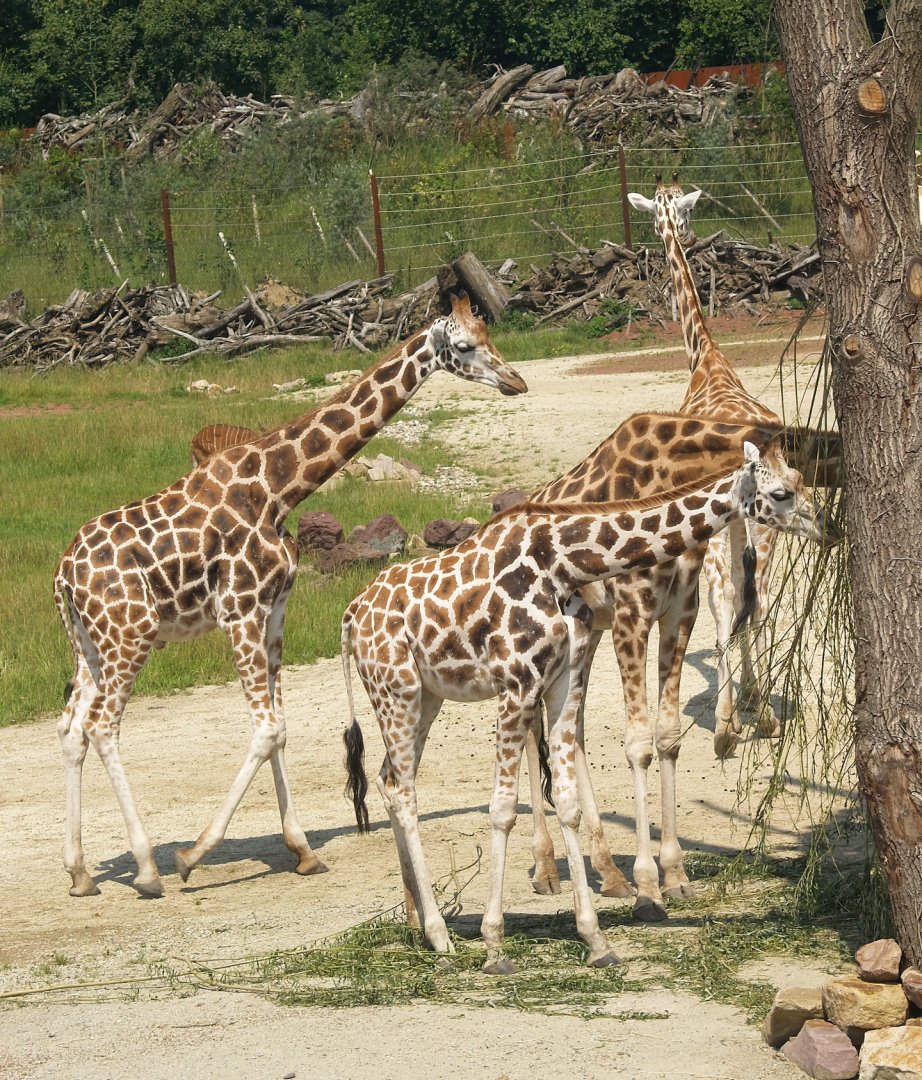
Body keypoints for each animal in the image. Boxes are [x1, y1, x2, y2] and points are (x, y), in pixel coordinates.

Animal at [53, 294, 527, 899]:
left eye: (489, 333)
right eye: (465, 345)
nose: (515, 381)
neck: (280, 487)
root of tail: (63, 576)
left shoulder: (274, 610)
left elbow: (282, 728)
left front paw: (302, 851)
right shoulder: (239, 608)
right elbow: (266, 728)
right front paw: (192, 856)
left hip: (92, 644)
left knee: (72, 728)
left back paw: (80, 873)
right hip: (130, 636)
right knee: (102, 726)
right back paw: (147, 869)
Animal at [341, 444, 837, 970]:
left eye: (801, 479)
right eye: (780, 493)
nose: (829, 526)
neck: (564, 563)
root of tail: (351, 615)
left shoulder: (561, 679)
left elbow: (567, 802)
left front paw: (596, 939)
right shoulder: (516, 683)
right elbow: (501, 809)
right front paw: (495, 944)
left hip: (425, 694)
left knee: (389, 781)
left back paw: (416, 921)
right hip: (397, 691)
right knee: (404, 791)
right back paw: (439, 935)